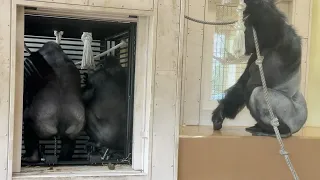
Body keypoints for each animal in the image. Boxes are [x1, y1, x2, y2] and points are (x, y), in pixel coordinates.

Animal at [210, 0, 308, 137]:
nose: (245, 42)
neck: (266, 44)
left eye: (245, 31)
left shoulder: (281, 36)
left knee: (257, 92)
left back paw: (278, 130)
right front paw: (220, 113)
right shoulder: (254, 55)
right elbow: (242, 85)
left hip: (295, 118)